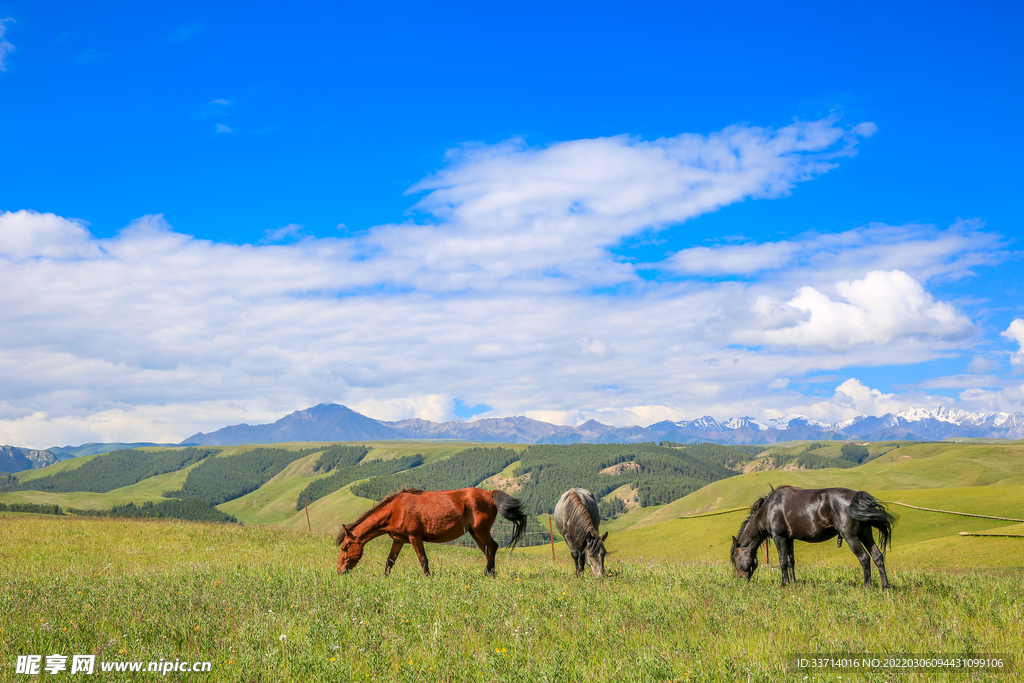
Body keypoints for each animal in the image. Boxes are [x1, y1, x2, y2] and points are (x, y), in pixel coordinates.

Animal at [335, 485, 528, 577]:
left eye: (345, 547)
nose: (339, 571)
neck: (396, 509)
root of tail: (489, 493)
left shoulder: (415, 537)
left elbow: (423, 560)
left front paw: (429, 578)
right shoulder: (398, 540)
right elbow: (390, 562)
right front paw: (385, 579)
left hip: (481, 531)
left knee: (493, 547)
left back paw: (490, 574)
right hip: (475, 533)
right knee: (488, 550)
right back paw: (488, 573)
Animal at [729, 485, 897, 589]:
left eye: (735, 559)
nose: (740, 581)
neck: (769, 508)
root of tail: (857, 498)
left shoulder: (779, 537)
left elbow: (783, 562)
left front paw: (784, 584)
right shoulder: (789, 539)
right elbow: (791, 561)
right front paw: (794, 582)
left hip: (851, 537)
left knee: (864, 558)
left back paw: (866, 585)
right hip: (865, 534)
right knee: (877, 556)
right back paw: (886, 585)